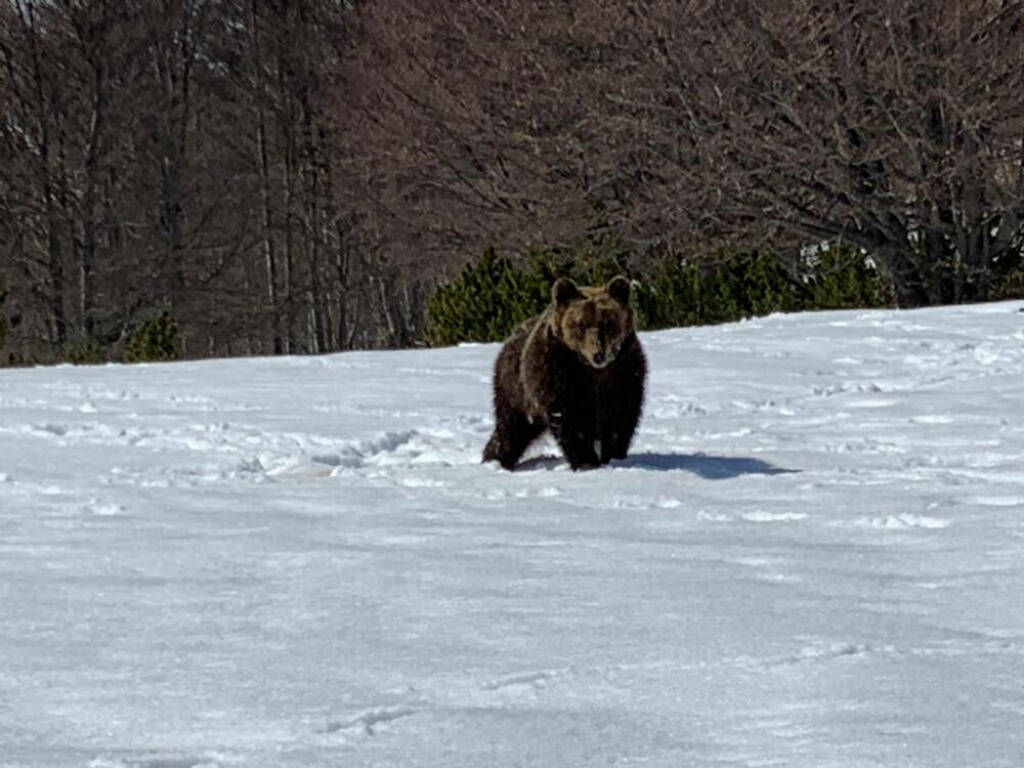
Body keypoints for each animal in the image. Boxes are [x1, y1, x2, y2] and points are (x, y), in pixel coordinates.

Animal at [481, 274, 643, 473]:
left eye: (608, 323)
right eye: (580, 325)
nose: (598, 355)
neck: (593, 372)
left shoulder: (624, 375)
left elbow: (620, 419)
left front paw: (613, 457)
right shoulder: (560, 377)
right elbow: (571, 421)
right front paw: (586, 462)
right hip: (517, 391)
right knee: (511, 428)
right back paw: (496, 460)